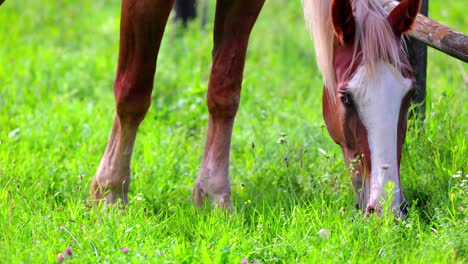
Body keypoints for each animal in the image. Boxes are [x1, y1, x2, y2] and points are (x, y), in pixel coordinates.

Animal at [88, 0, 420, 219]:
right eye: (345, 98)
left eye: (409, 94)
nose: (387, 207)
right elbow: (133, 91)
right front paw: (109, 195)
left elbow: (224, 89)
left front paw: (215, 197)